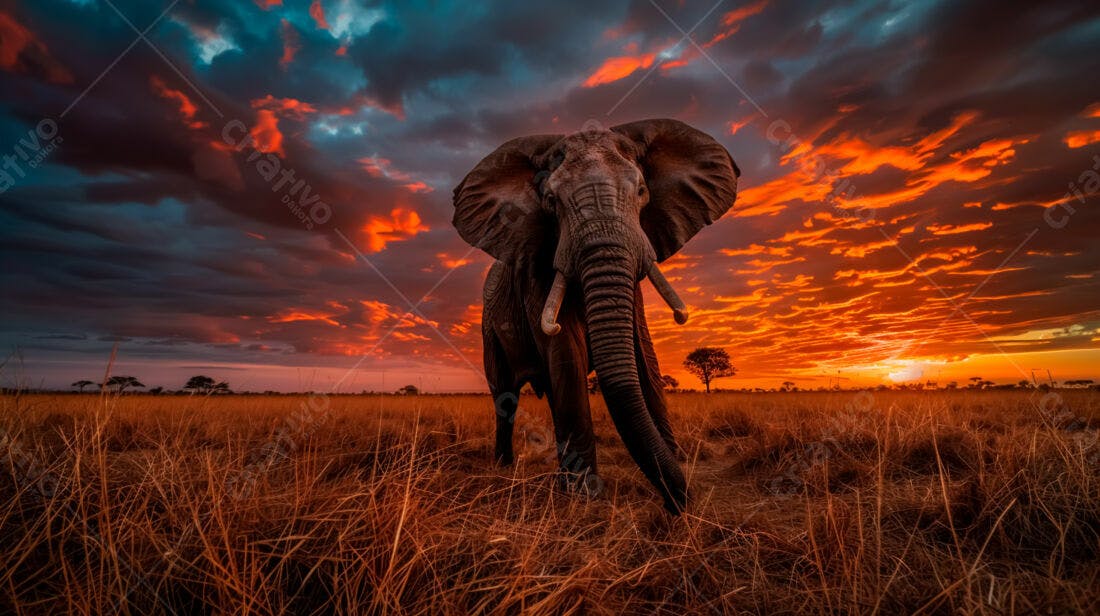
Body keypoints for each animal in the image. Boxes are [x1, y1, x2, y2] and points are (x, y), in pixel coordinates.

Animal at [451, 119, 739, 514]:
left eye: (642, 191)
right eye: (551, 203)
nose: (677, 504)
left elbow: (643, 353)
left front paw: (676, 461)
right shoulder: (536, 268)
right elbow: (566, 351)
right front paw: (583, 494)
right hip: (487, 328)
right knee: (505, 395)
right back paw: (505, 466)